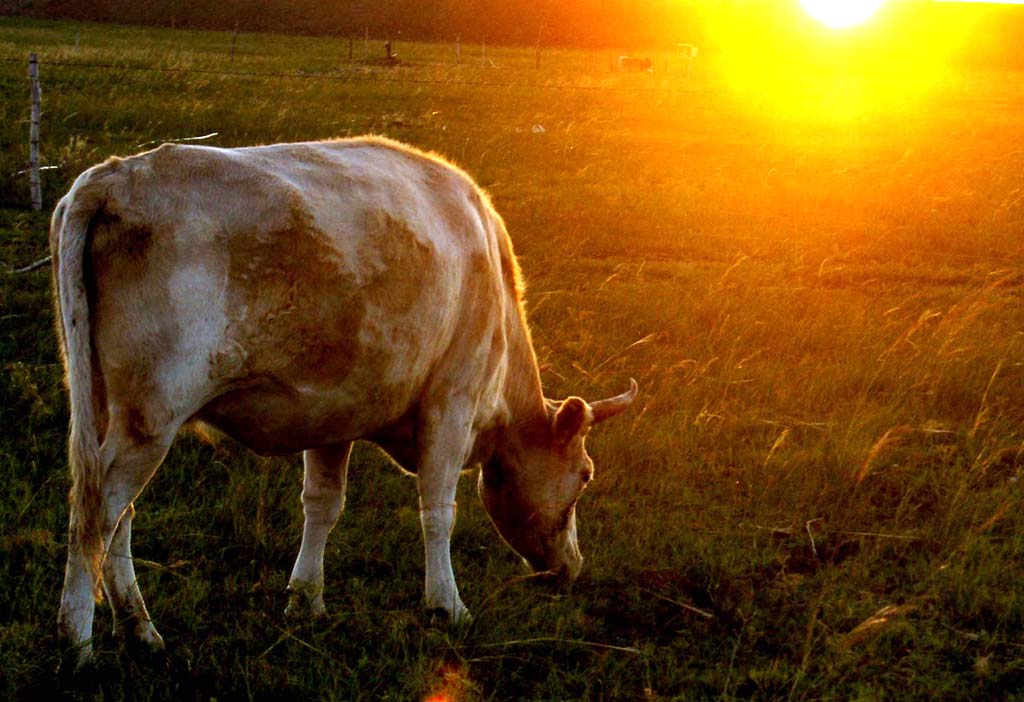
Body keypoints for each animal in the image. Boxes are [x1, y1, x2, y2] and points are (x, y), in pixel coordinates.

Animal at [51, 135, 634, 667]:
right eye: (585, 475)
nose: (572, 567)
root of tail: (113, 175)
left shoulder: (333, 414)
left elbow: (323, 504)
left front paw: (306, 598)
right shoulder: (453, 399)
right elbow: (437, 509)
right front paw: (447, 605)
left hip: (113, 412)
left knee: (119, 516)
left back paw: (138, 629)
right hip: (151, 417)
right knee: (97, 512)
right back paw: (76, 640)